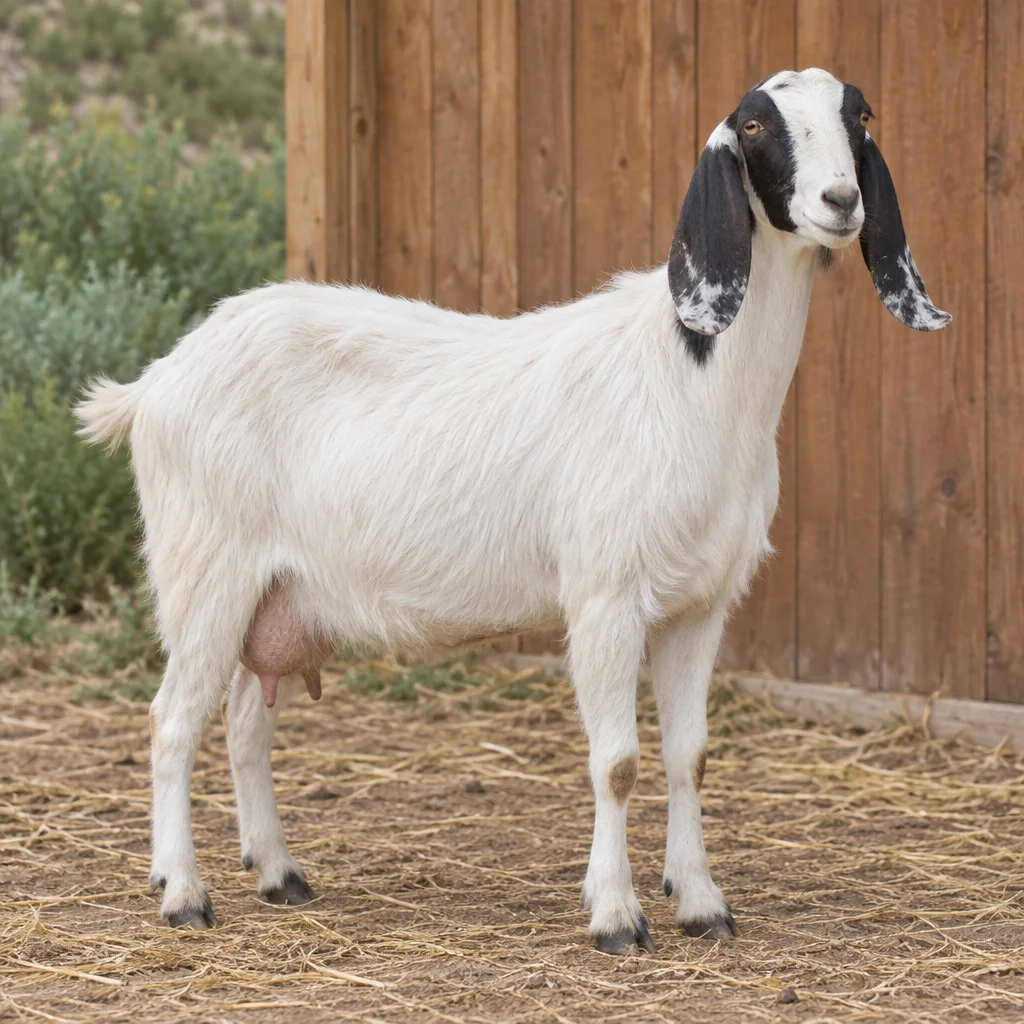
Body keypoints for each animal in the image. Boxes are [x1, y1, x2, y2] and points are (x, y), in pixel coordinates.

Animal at [76, 68, 950, 954]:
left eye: (859, 115)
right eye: (756, 126)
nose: (841, 200)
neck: (689, 377)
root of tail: (155, 383)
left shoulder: (700, 606)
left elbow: (690, 756)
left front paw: (702, 902)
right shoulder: (604, 596)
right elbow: (618, 762)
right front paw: (616, 915)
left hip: (276, 594)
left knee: (247, 726)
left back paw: (279, 874)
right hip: (203, 571)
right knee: (172, 722)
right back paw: (182, 893)